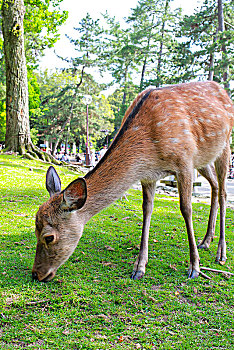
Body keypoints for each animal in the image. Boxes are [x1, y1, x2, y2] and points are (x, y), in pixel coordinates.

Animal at [32, 81, 233, 282]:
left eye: (49, 237)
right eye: (35, 229)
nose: (36, 274)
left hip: (224, 145)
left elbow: (186, 209)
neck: (149, 151)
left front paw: (194, 266)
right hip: (204, 159)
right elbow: (147, 210)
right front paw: (139, 267)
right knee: (215, 186)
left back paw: (220, 253)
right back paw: (206, 241)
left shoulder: (184, 162)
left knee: (223, 192)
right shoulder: (149, 175)